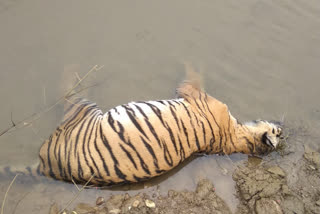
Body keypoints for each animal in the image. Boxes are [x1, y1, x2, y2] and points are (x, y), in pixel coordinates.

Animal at [1, 63, 282, 186]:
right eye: (280, 131)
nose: (282, 124)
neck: (236, 138)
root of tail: (46, 167)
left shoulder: (194, 93)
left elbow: (193, 73)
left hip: (82, 110)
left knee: (67, 92)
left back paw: (70, 68)